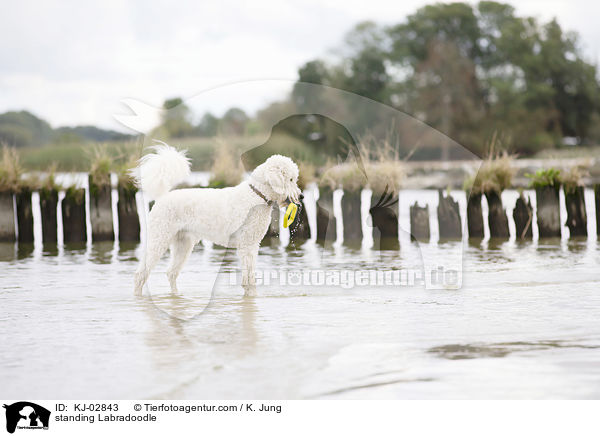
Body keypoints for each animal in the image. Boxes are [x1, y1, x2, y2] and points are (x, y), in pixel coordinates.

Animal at [131, 145, 300, 298]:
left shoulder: (252, 245)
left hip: (183, 244)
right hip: (159, 238)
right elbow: (249, 278)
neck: (256, 195)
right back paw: (138, 296)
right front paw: (252, 295)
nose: (302, 196)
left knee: (171, 273)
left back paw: (176, 295)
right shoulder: (247, 245)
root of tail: (162, 197)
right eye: (290, 179)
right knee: (141, 274)